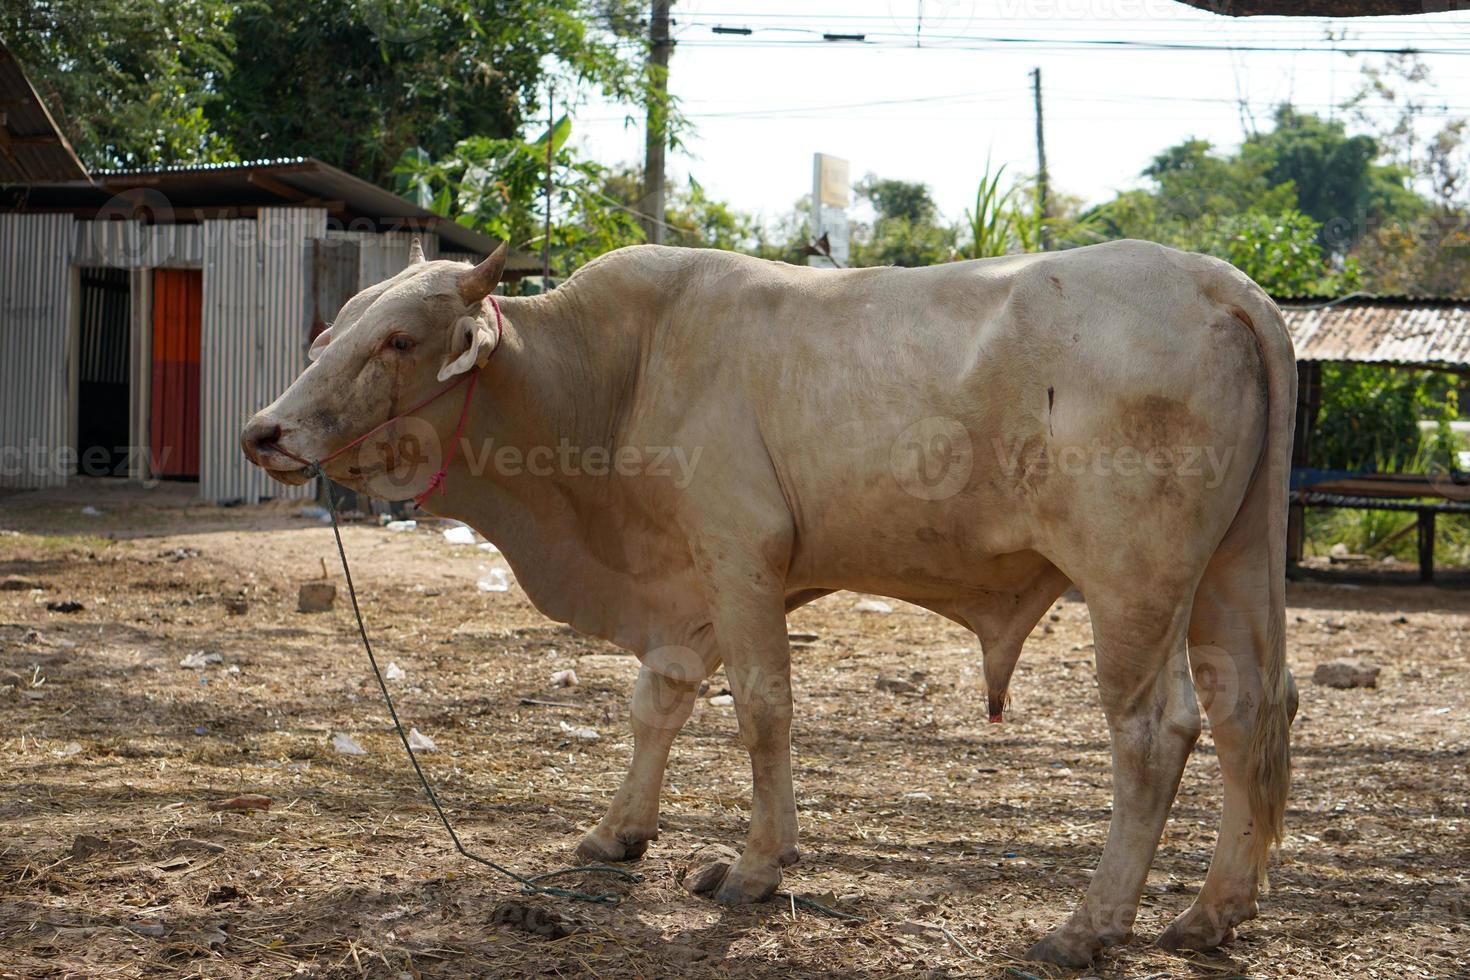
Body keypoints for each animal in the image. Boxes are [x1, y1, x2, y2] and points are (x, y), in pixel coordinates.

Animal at [241, 240, 1299, 969]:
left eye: (399, 339)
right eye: (329, 333)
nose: (266, 432)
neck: (614, 377)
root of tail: (1217, 283)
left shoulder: (739, 556)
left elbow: (760, 710)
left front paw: (755, 867)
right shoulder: (690, 588)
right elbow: (657, 702)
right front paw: (619, 832)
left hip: (1131, 583)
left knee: (1156, 732)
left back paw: (1088, 926)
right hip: (1232, 569)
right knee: (1253, 709)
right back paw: (1212, 912)